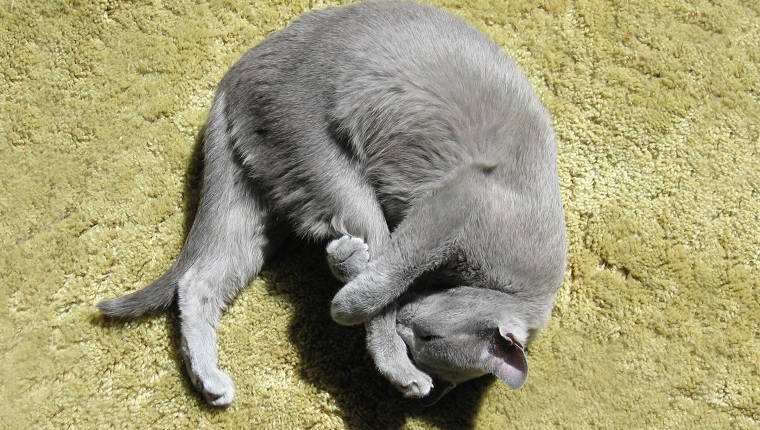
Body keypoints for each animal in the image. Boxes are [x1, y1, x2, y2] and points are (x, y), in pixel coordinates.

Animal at [98, 0, 568, 406]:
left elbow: (382, 272)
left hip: (260, 201)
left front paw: (347, 263)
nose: (406, 331)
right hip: (328, 162)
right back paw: (397, 368)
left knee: (198, 282)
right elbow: (390, 275)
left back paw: (211, 382)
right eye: (427, 339)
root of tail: (239, 71)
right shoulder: (454, 204)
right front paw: (350, 295)